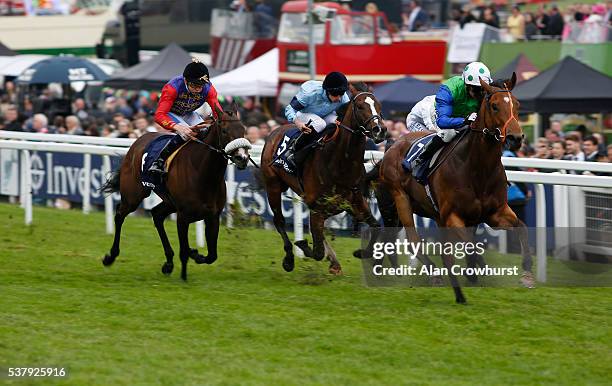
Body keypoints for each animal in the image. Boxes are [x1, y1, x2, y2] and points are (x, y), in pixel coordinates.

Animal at [101, 105, 250, 280]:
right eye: (225, 130)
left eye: (243, 129)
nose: (242, 158)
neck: (204, 174)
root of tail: (137, 141)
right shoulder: (183, 217)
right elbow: (184, 251)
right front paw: (184, 277)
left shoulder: (213, 216)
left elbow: (212, 255)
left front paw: (195, 254)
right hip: (133, 196)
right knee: (119, 215)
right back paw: (110, 256)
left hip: (169, 202)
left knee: (157, 214)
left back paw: (168, 263)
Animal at [260, 89, 384, 274]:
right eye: (360, 106)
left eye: (379, 106)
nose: (380, 130)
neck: (340, 162)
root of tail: (275, 131)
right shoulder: (317, 208)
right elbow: (317, 251)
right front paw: (302, 245)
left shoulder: (354, 203)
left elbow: (376, 227)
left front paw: (361, 253)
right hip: (273, 186)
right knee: (279, 220)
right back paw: (289, 259)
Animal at [376, 71, 532, 302]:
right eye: (494, 106)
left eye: (517, 104)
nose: (516, 138)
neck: (478, 169)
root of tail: (393, 144)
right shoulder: (453, 216)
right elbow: (471, 245)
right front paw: (473, 273)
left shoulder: (495, 213)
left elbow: (522, 228)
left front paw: (527, 273)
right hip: (401, 198)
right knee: (413, 240)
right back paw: (434, 273)